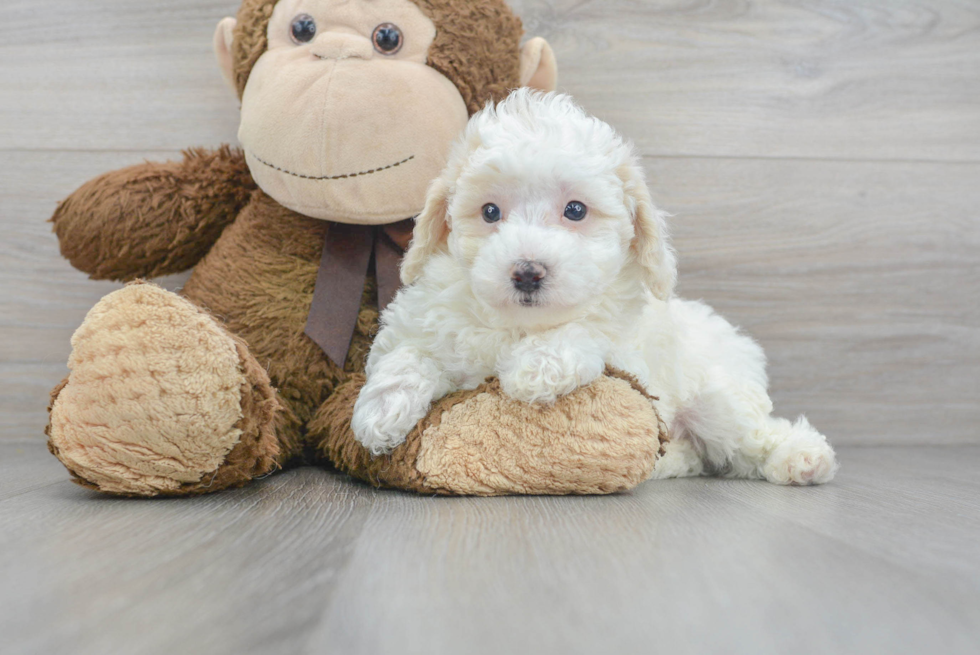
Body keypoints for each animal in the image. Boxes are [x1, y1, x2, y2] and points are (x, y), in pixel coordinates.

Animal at [348, 89, 840, 484]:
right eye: (489, 212)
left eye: (576, 210)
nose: (527, 272)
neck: (518, 325)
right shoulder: (424, 321)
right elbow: (406, 354)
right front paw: (380, 412)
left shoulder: (624, 346)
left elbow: (586, 332)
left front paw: (533, 369)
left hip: (718, 398)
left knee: (756, 433)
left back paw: (803, 457)